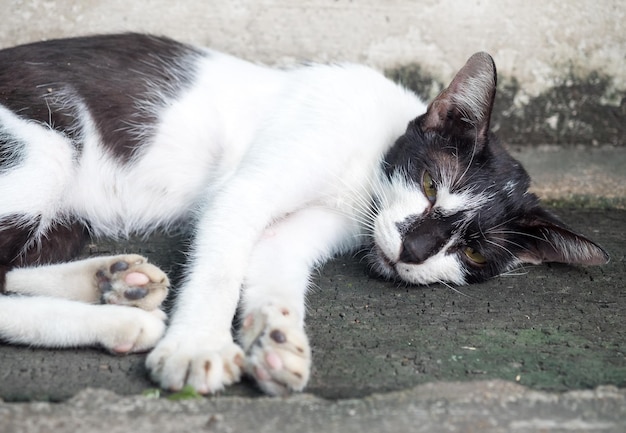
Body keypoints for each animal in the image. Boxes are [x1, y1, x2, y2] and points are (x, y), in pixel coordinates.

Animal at [0, 33, 604, 394]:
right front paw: (198, 347)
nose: (413, 251)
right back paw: (120, 314)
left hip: (65, 218)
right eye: (431, 185)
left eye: (474, 252)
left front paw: (276, 340)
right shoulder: (244, 191)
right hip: (44, 151)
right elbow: (221, 269)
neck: (363, 169)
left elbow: (275, 269)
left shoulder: (312, 230)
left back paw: (117, 286)